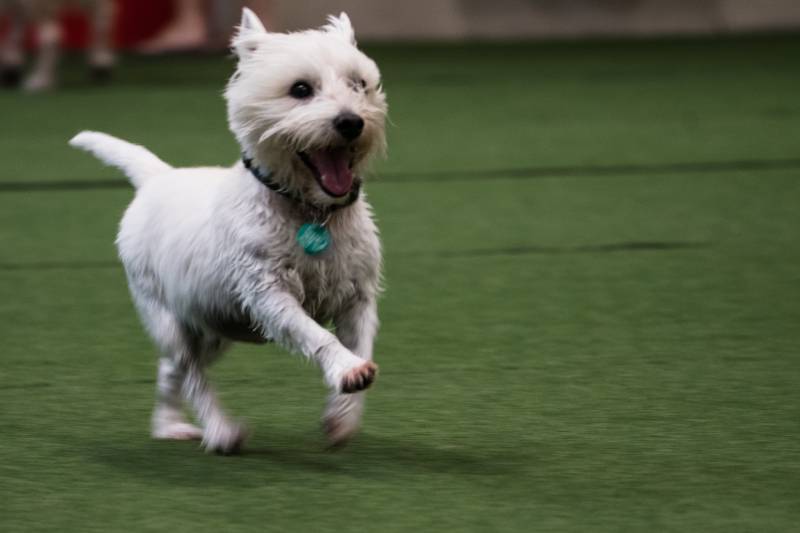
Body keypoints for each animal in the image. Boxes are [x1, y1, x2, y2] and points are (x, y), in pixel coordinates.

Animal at [70, 8, 390, 450]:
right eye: (301, 89)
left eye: (360, 84)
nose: (351, 122)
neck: (310, 211)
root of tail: (155, 178)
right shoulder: (267, 293)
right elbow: (316, 335)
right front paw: (349, 371)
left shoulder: (357, 296)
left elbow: (361, 341)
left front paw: (341, 418)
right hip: (168, 316)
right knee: (190, 372)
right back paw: (221, 431)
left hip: (212, 327)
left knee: (171, 370)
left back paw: (169, 425)